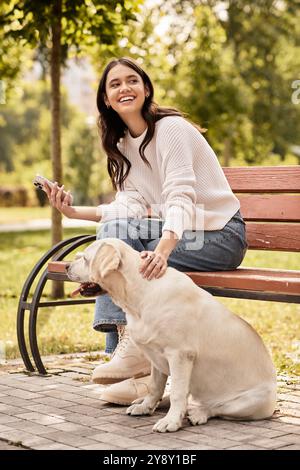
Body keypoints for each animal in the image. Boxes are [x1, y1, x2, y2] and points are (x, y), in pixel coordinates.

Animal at [67, 239, 276, 434]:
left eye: (85, 259)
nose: (67, 266)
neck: (138, 295)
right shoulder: (155, 355)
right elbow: (155, 387)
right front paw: (146, 407)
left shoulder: (180, 355)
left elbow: (177, 392)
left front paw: (171, 421)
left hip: (254, 401)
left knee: (215, 408)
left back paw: (198, 413)